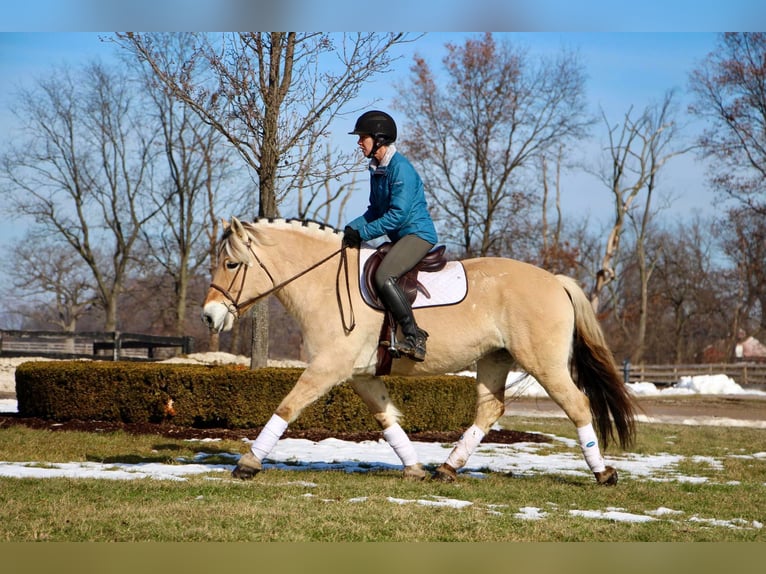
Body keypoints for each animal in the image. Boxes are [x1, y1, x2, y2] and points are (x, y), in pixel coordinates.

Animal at [201, 217, 640, 486]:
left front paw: (248, 462)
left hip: (543, 363)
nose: (209, 316)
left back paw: (603, 474)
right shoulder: (360, 375)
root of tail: (555, 281)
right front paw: (414, 468)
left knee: (578, 405)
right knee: (490, 409)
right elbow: (387, 420)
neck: (325, 283)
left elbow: (287, 407)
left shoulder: (328, 367)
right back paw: (447, 468)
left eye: (231, 264)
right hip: (494, 360)